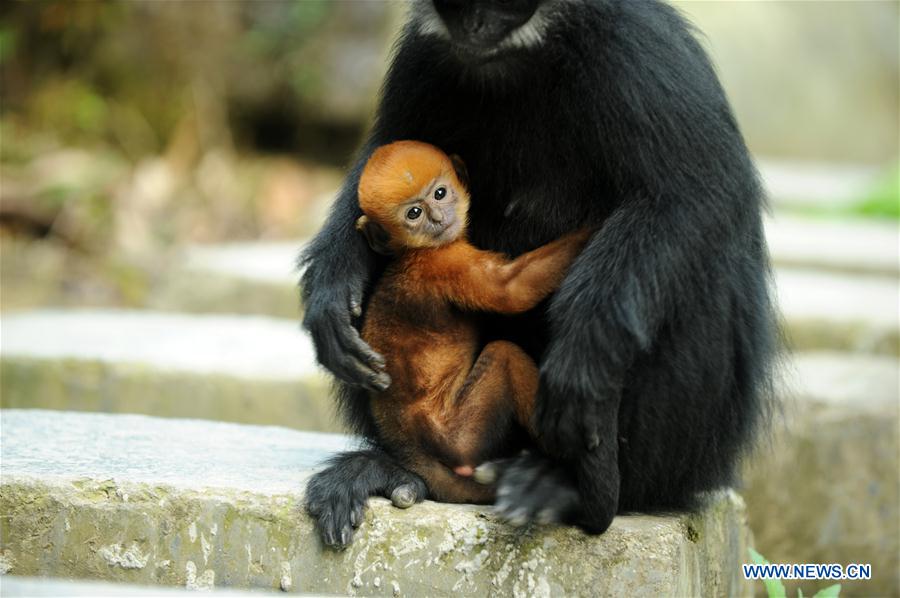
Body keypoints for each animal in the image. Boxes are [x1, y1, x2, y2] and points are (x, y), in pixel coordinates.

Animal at [358, 141, 592, 506]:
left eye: (440, 193)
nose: (438, 218)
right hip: (461, 438)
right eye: (414, 213)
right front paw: (595, 224)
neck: (414, 252)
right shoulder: (445, 261)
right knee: (505, 355)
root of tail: (407, 446)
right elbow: (510, 290)